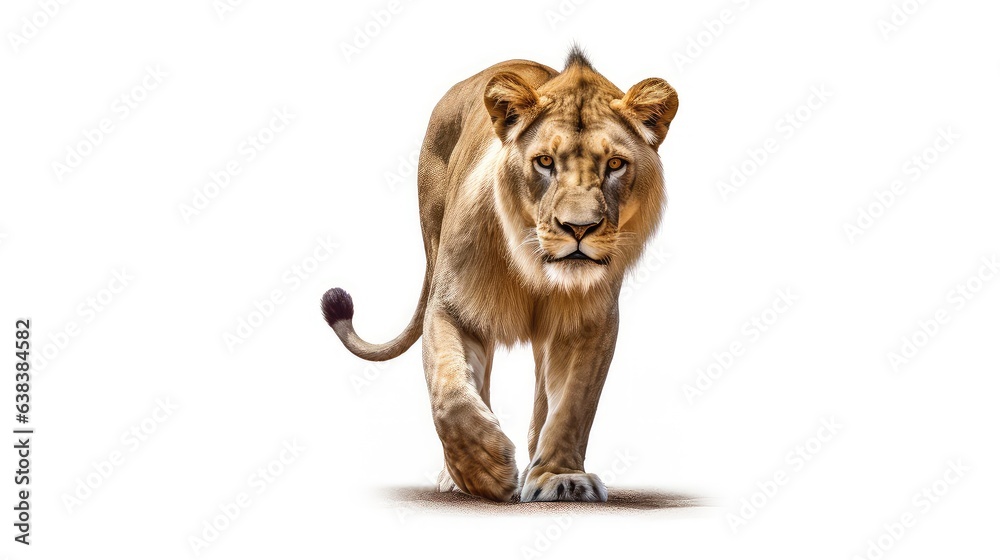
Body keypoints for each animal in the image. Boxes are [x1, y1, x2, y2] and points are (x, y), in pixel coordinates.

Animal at [322, 47, 677, 502]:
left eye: (615, 164)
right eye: (544, 162)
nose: (578, 228)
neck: (537, 270)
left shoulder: (591, 322)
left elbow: (573, 404)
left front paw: (560, 477)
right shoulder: (450, 306)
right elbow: (450, 394)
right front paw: (485, 471)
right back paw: (456, 477)